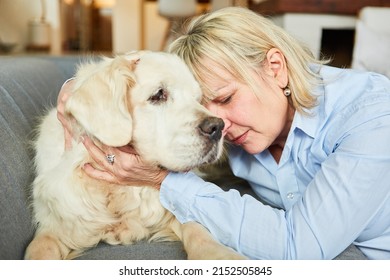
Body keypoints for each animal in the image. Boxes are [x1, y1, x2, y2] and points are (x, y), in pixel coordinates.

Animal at [22, 50, 245, 260]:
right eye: (158, 95)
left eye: (197, 99)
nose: (217, 127)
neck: (115, 190)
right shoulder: (55, 224)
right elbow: (41, 249)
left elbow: (196, 228)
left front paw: (218, 254)